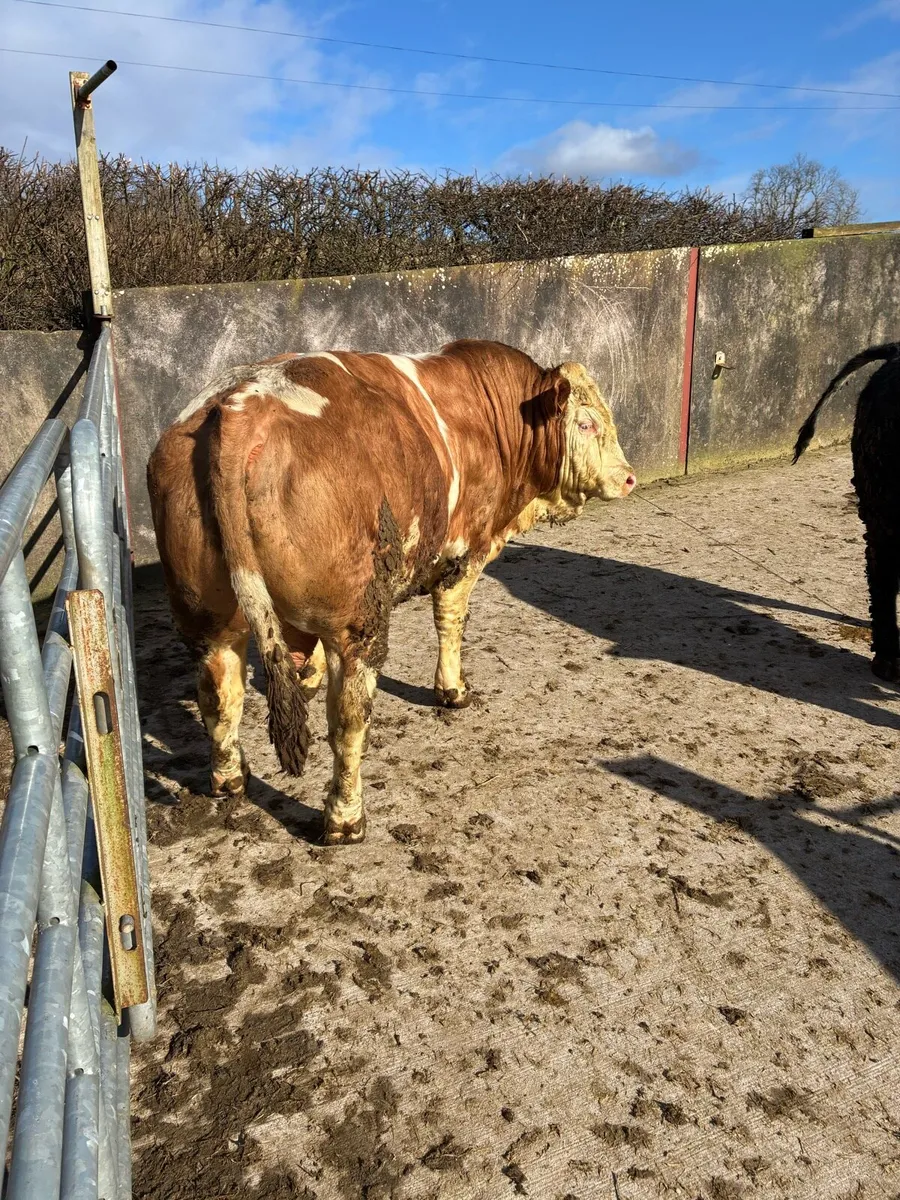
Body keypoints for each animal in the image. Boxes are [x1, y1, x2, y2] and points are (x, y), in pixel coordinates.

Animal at [147, 340, 636, 844]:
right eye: (586, 422)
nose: (628, 477)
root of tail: (242, 404)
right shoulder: (466, 554)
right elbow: (451, 622)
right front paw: (453, 690)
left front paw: (307, 676)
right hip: (357, 623)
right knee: (348, 718)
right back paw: (346, 818)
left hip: (208, 618)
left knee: (218, 695)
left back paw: (230, 777)